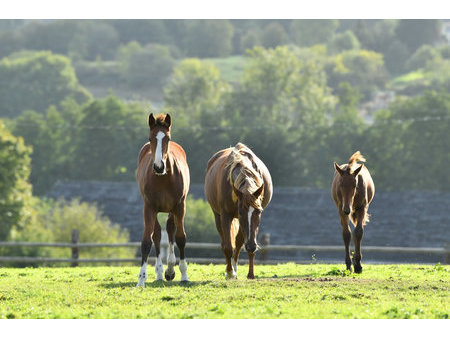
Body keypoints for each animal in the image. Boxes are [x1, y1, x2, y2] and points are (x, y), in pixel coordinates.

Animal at [134, 113, 189, 286]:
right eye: (150, 138)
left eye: (168, 138)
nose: (159, 166)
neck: (164, 178)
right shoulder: (149, 207)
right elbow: (147, 241)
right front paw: (141, 280)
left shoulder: (179, 206)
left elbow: (180, 238)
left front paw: (184, 275)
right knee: (157, 234)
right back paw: (160, 272)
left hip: (172, 209)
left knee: (171, 229)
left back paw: (170, 269)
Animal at [205, 143, 274, 280]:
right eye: (241, 212)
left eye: (258, 212)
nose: (251, 246)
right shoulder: (226, 216)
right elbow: (228, 246)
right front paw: (229, 273)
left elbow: (242, 243)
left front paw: (250, 274)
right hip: (218, 216)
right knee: (225, 243)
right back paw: (230, 270)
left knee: (239, 243)